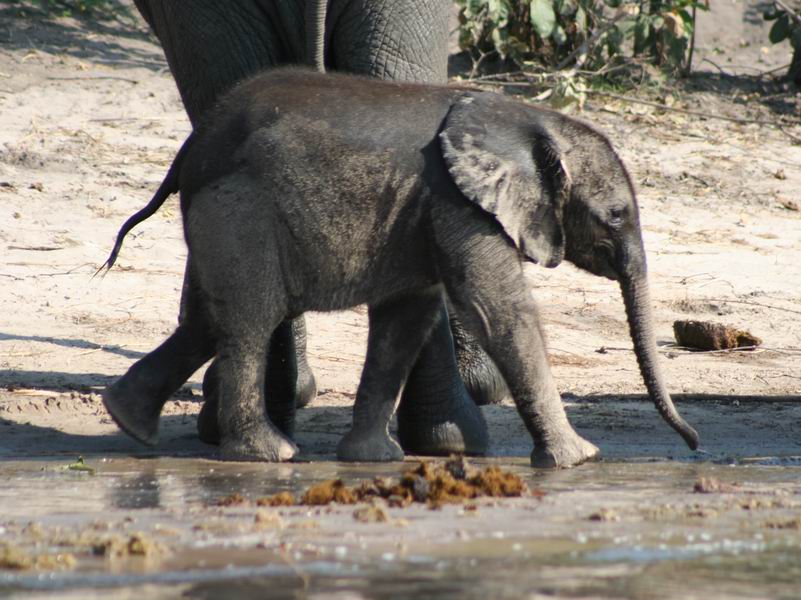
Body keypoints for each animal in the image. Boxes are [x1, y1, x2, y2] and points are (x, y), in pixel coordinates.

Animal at [103, 67, 696, 468]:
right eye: (615, 215)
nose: (692, 443)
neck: (529, 118)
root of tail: (191, 147)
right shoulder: (459, 204)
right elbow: (500, 311)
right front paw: (580, 460)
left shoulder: (426, 212)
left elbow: (405, 321)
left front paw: (373, 460)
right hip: (239, 209)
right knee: (250, 319)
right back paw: (270, 455)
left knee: (209, 319)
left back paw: (128, 421)